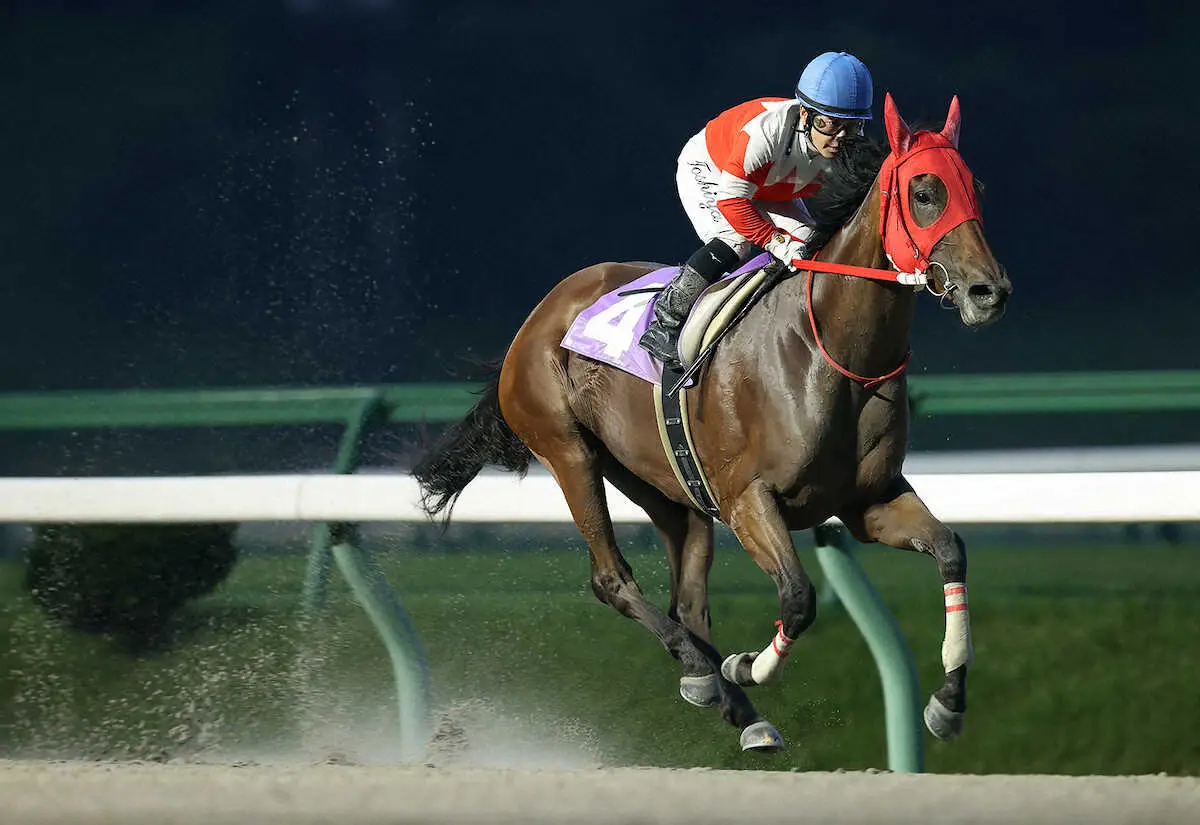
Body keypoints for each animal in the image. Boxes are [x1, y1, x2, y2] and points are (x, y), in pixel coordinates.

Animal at [413, 93, 1012, 753]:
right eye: (925, 192)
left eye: (976, 187)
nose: (989, 292)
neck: (828, 348)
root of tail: (539, 316)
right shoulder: (748, 499)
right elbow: (798, 597)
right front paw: (746, 664)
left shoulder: (869, 501)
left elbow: (950, 550)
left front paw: (948, 703)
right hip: (568, 452)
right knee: (612, 578)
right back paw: (703, 671)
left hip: (667, 486)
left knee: (688, 598)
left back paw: (738, 710)